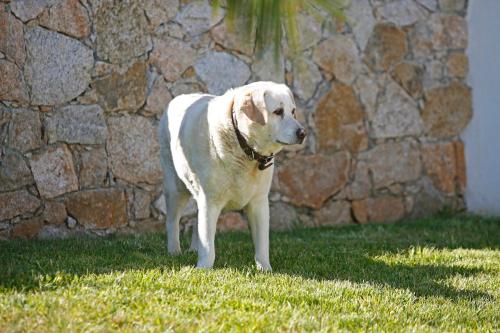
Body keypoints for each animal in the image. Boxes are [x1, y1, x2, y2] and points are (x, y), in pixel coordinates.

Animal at [158, 81, 304, 270]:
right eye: (278, 112)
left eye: (292, 111)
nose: (302, 133)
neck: (242, 144)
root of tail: (178, 98)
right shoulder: (210, 200)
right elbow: (208, 244)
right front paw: (204, 268)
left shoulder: (259, 202)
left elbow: (262, 243)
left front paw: (265, 269)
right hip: (175, 188)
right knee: (172, 221)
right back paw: (174, 251)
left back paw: (193, 249)